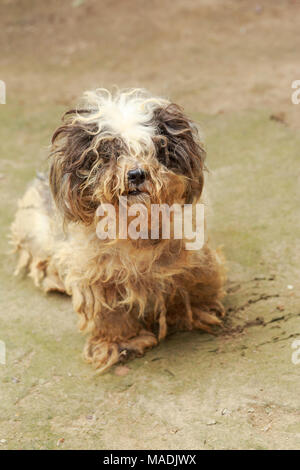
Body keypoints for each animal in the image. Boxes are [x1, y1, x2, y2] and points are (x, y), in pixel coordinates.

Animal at [10, 89, 226, 370]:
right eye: (107, 152)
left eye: (155, 148)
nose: (136, 174)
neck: (136, 228)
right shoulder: (99, 275)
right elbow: (110, 313)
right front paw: (121, 343)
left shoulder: (192, 254)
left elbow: (194, 282)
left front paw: (198, 311)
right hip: (37, 232)